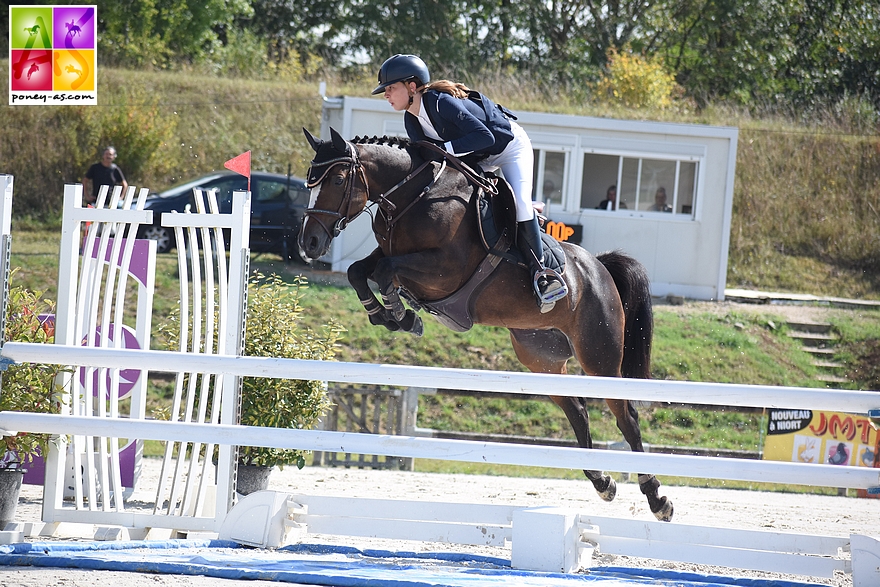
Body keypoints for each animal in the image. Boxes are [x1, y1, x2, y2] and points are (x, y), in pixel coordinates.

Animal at [298, 129, 672, 524]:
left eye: (338, 180)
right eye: (310, 181)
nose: (308, 243)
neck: (411, 196)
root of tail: (600, 268)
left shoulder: (443, 270)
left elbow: (386, 272)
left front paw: (402, 315)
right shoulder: (390, 253)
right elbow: (359, 271)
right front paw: (386, 315)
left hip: (599, 356)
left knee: (627, 417)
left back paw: (657, 498)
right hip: (543, 360)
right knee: (578, 411)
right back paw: (602, 481)